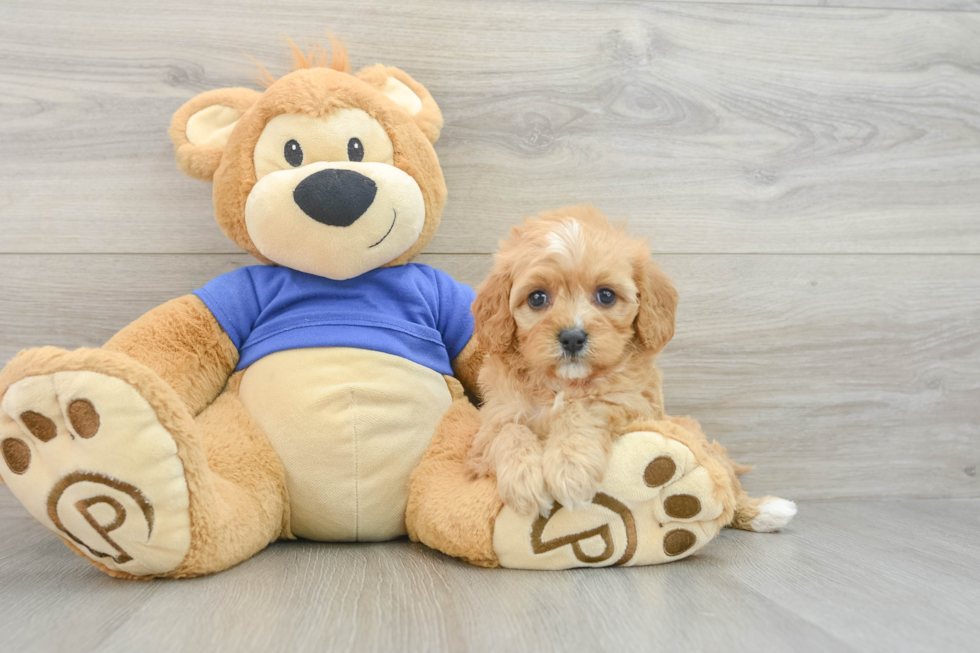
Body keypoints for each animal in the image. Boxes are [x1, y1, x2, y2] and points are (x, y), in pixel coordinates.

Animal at [470, 204, 676, 516]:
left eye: (606, 295)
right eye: (537, 298)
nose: (572, 338)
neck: (562, 383)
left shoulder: (633, 404)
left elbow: (582, 409)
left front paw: (570, 467)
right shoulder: (490, 424)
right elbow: (509, 430)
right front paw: (523, 479)